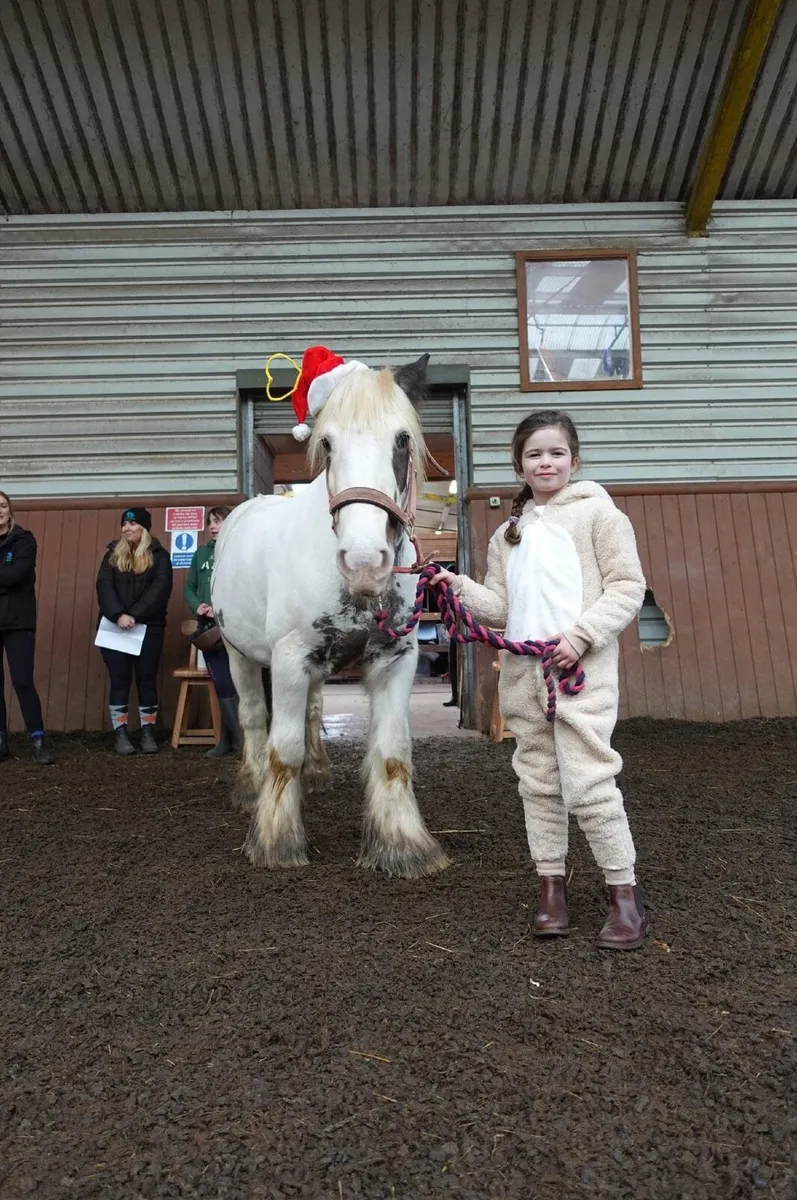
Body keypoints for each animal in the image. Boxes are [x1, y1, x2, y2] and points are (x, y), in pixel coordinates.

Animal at [211, 355, 451, 879]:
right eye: (326, 443)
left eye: (402, 440)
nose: (363, 562)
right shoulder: (288, 658)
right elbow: (283, 751)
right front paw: (276, 842)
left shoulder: (395, 658)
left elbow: (393, 753)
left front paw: (403, 845)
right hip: (239, 655)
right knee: (254, 717)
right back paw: (250, 787)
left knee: (314, 710)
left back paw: (317, 774)